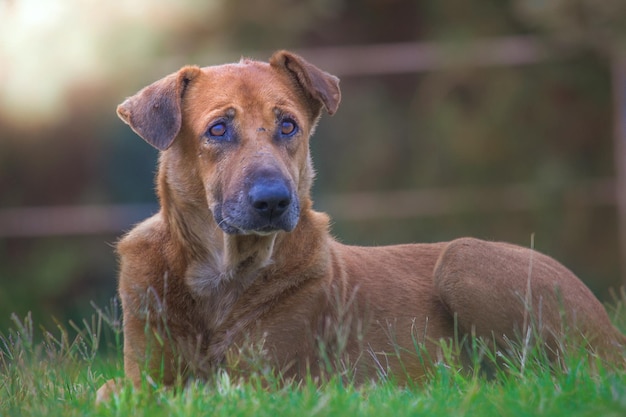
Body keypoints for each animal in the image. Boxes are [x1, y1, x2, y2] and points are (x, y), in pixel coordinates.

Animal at [95, 51, 620, 400]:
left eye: (288, 125)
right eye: (218, 129)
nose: (273, 201)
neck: (220, 276)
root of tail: (614, 333)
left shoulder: (264, 379)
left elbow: (207, 391)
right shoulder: (145, 371)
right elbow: (113, 390)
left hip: (463, 258)